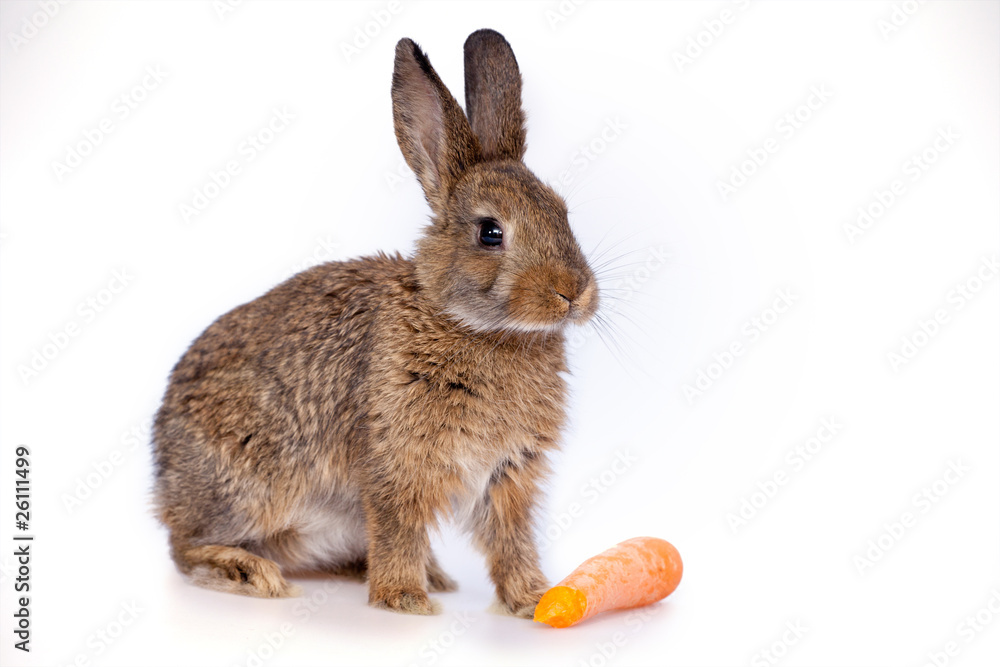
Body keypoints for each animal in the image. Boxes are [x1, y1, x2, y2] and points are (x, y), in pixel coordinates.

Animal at [152, 28, 599, 617]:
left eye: (562, 211)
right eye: (490, 233)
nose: (574, 292)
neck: (473, 325)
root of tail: (161, 473)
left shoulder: (507, 473)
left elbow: (511, 540)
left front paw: (532, 599)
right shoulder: (396, 461)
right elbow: (398, 528)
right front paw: (403, 600)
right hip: (251, 486)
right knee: (184, 547)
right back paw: (250, 573)